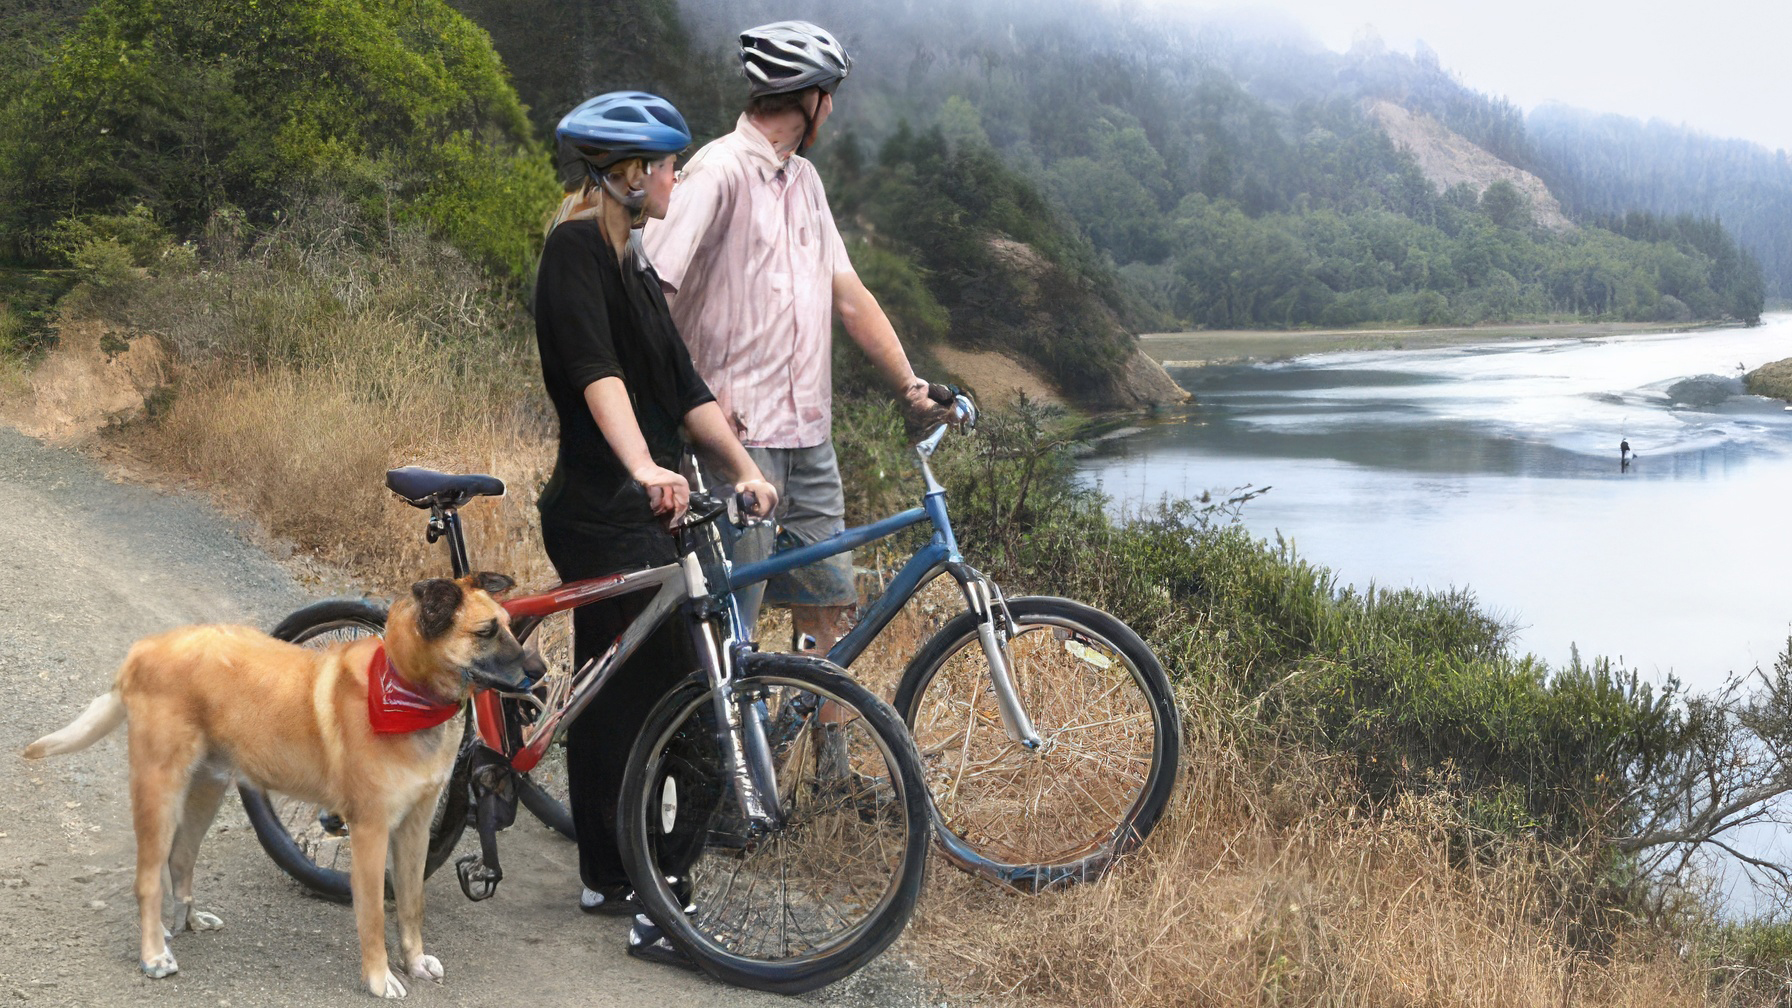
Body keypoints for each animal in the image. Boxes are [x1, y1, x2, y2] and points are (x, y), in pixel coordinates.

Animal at [22, 570, 537, 990]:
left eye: (507, 624)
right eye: (486, 632)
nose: (542, 670)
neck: (408, 691)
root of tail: (143, 649)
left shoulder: (414, 827)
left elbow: (412, 903)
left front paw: (414, 961)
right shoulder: (370, 831)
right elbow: (372, 915)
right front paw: (379, 978)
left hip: (206, 791)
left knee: (181, 858)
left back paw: (187, 921)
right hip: (159, 791)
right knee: (147, 878)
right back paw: (153, 955)